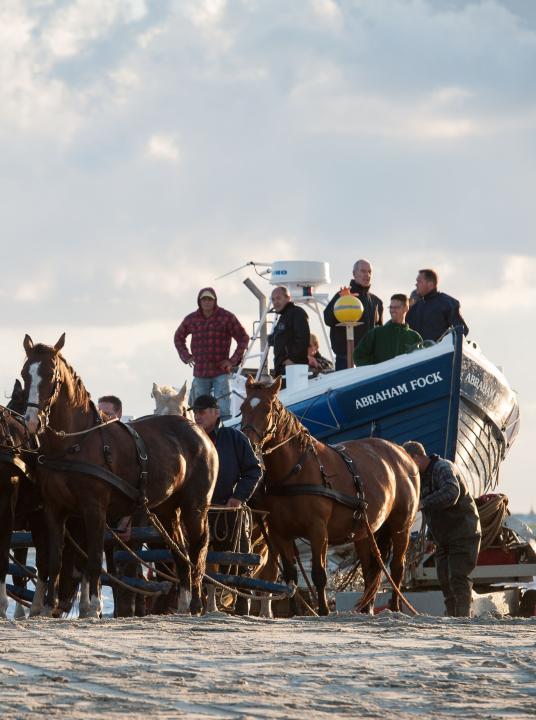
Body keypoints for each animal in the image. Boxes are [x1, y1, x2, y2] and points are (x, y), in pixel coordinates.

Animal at [21, 334, 218, 616]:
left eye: (50, 374)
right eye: (25, 374)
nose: (31, 421)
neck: (74, 443)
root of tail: (199, 432)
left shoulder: (94, 508)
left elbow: (93, 560)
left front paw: (92, 607)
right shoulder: (54, 509)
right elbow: (55, 561)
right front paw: (48, 608)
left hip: (196, 506)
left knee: (197, 549)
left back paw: (196, 604)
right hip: (167, 510)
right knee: (179, 552)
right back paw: (183, 604)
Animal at [241, 374, 420, 616]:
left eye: (267, 408)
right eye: (242, 408)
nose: (247, 443)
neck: (295, 470)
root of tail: (402, 453)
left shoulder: (317, 529)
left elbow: (319, 574)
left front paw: (323, 610)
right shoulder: (280, 533)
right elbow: (290, 576)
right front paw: (295, 612)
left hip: (401, 526)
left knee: (396, 568)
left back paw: (394, 608)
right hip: (365, 532)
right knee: (370, 570)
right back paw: (367, 609)